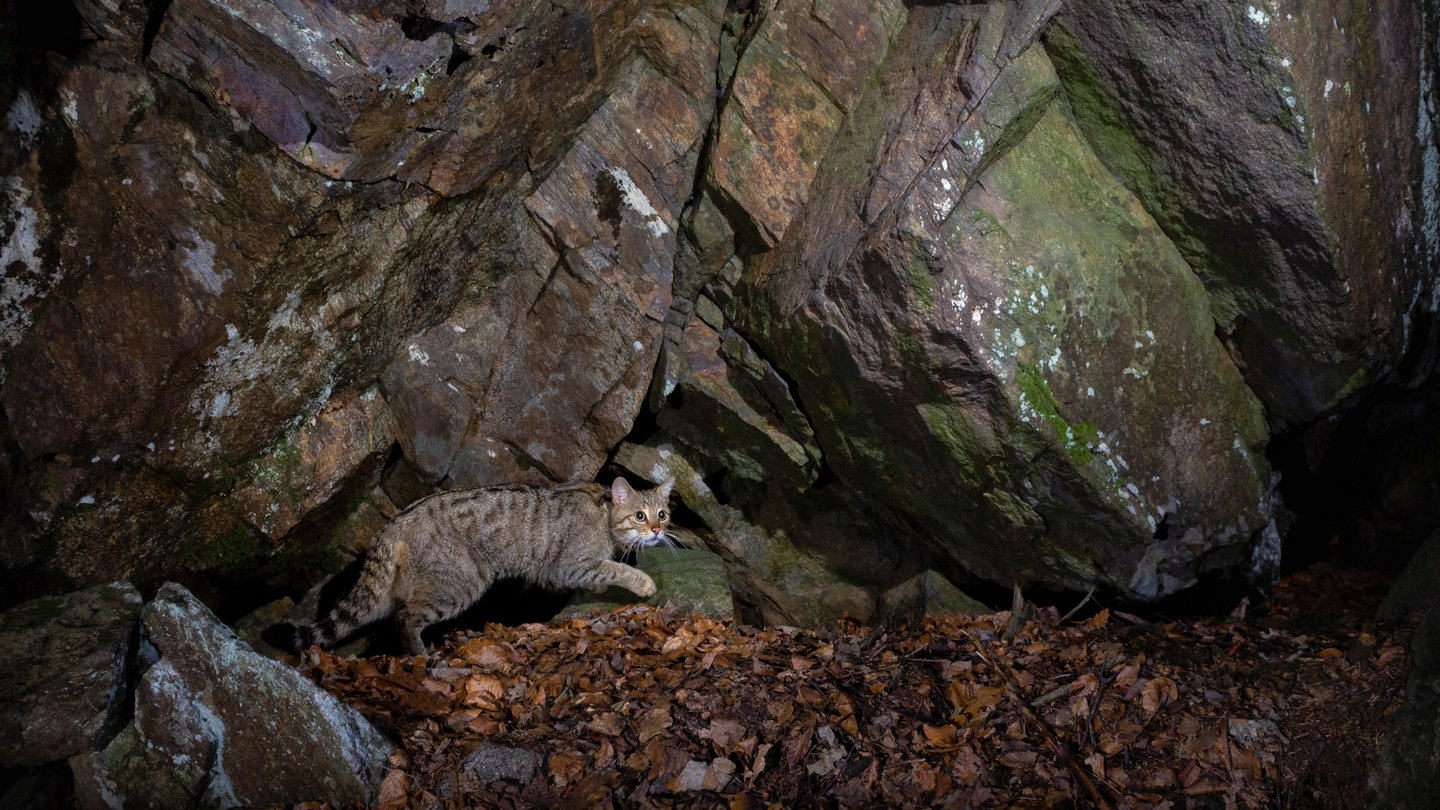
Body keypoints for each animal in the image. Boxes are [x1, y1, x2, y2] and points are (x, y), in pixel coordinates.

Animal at [270, 475, 673, 651]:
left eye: (663, 514)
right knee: (405, 619)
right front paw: (642, 582)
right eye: (640, 515)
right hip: (461, 582)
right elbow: (614, 567)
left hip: (389, 591)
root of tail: (395, 523)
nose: (656, 530)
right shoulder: (569, 563)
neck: (605, 515)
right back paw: (422, 658)